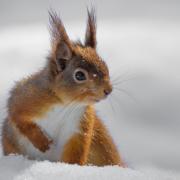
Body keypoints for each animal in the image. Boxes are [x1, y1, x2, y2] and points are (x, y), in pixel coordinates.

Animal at [2, 8, 124, 166]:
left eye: (105, 66)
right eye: (79, 75)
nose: (108, 90)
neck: (65, 104)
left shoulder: (79, 128)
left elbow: (74, 155)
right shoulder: (27, 97)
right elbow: (17, 115)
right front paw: (43, 143)